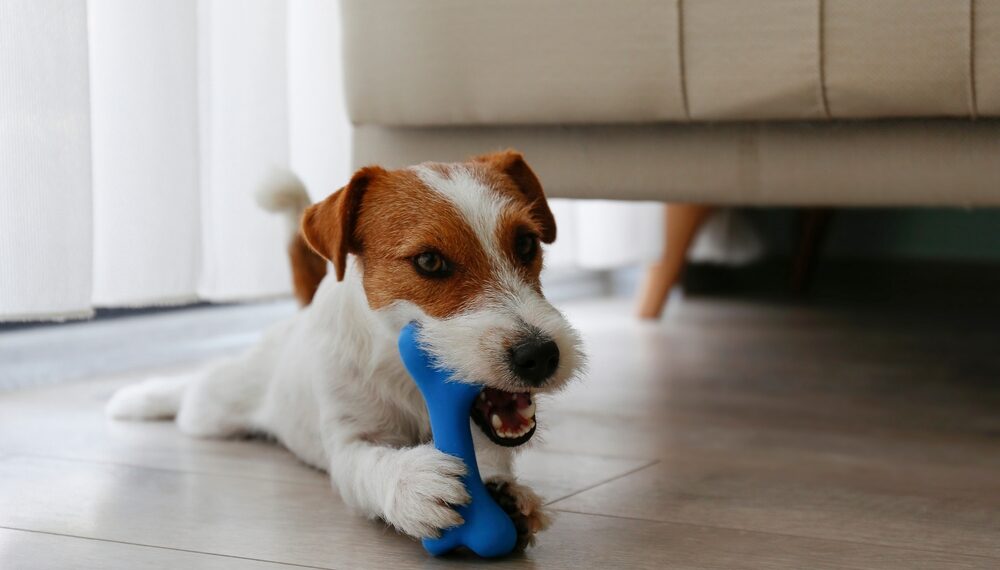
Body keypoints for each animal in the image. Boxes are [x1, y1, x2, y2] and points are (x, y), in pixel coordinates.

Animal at [107, 150, 584, 544]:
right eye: (429, 261)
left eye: (527, 243)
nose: (540, 355)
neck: (405, 377)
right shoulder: (348, 441)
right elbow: (368, 465)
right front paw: (413, 483)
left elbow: (489, 455)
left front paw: (505, 493)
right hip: (214, 408)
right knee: (192, 390)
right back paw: (138, 399)